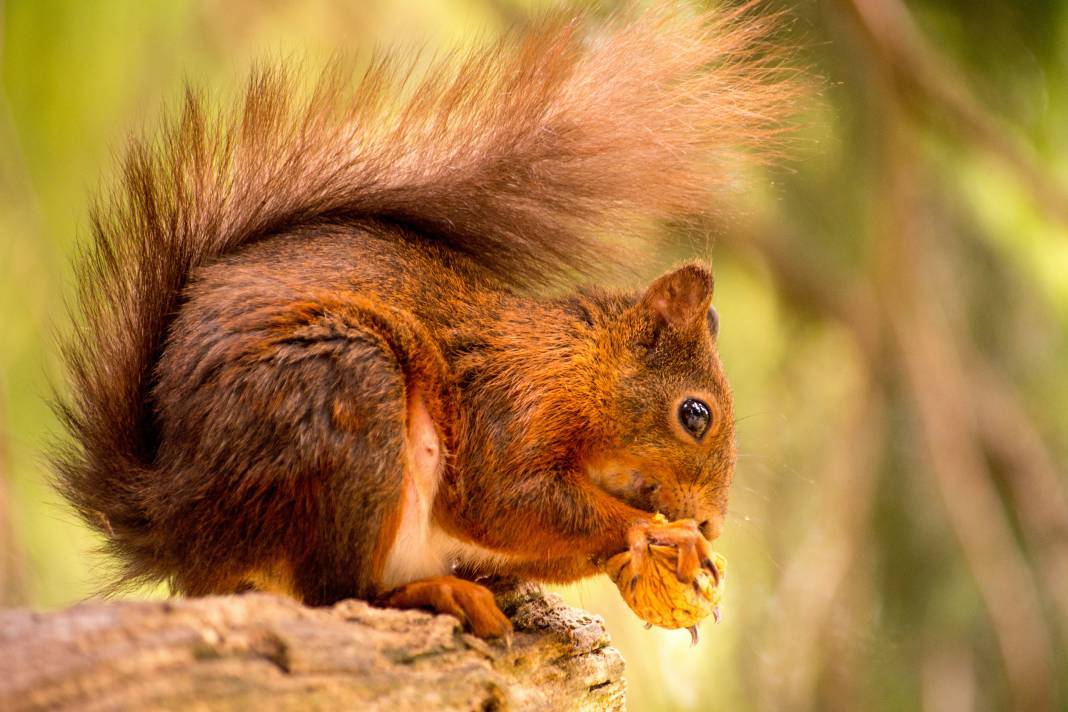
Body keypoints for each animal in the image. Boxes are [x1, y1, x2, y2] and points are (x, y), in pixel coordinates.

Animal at [54, 4, 798, 640]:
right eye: (695, 415)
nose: (713, 522)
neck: (579, 360)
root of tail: (175, 518)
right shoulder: (513, 403)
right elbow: (509, 500)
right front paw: (658, 533)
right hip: (347, 404)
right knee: (338, 592)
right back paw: (432, 594)